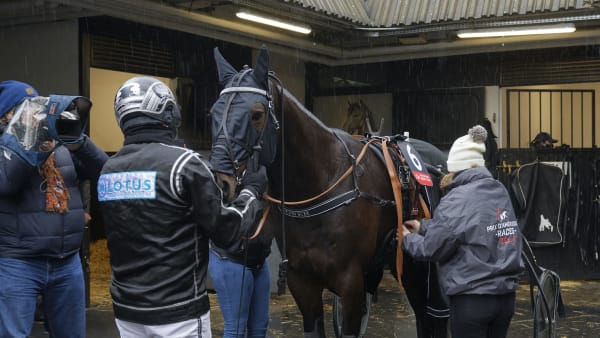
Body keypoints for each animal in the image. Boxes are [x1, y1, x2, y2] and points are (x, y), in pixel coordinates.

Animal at [209, 45, 448, 338]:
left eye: (256, 114)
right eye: (214, 112)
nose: (221, 181)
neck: (322, 185)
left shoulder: (351, 283)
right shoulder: (302, 282)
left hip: (422, 269)